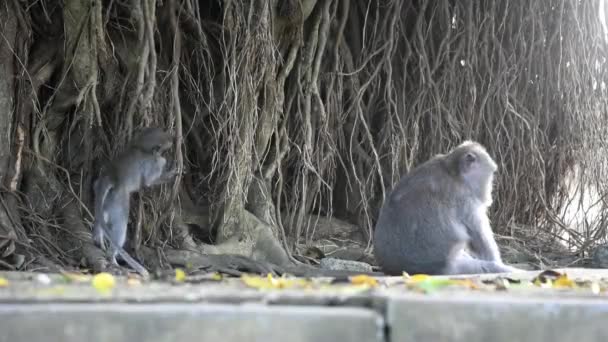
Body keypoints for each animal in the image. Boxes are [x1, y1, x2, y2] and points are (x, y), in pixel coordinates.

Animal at [92, 127, 178, 276]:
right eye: (166, 142)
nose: (173, 139)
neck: (141, 147)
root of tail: (110, 176)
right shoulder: (156, 163)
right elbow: (149, 182)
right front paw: (172, 172)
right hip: (119, 200)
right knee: (120, 227)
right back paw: (112, 257)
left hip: (105, 198)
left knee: (100, 217)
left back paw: (98, 238)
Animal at [372, 140, 520, 276]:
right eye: (490, 177)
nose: (489, 191)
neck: (453, 171)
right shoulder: (466, 199)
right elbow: (479, 236)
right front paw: (498, 262)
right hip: (450, 266)